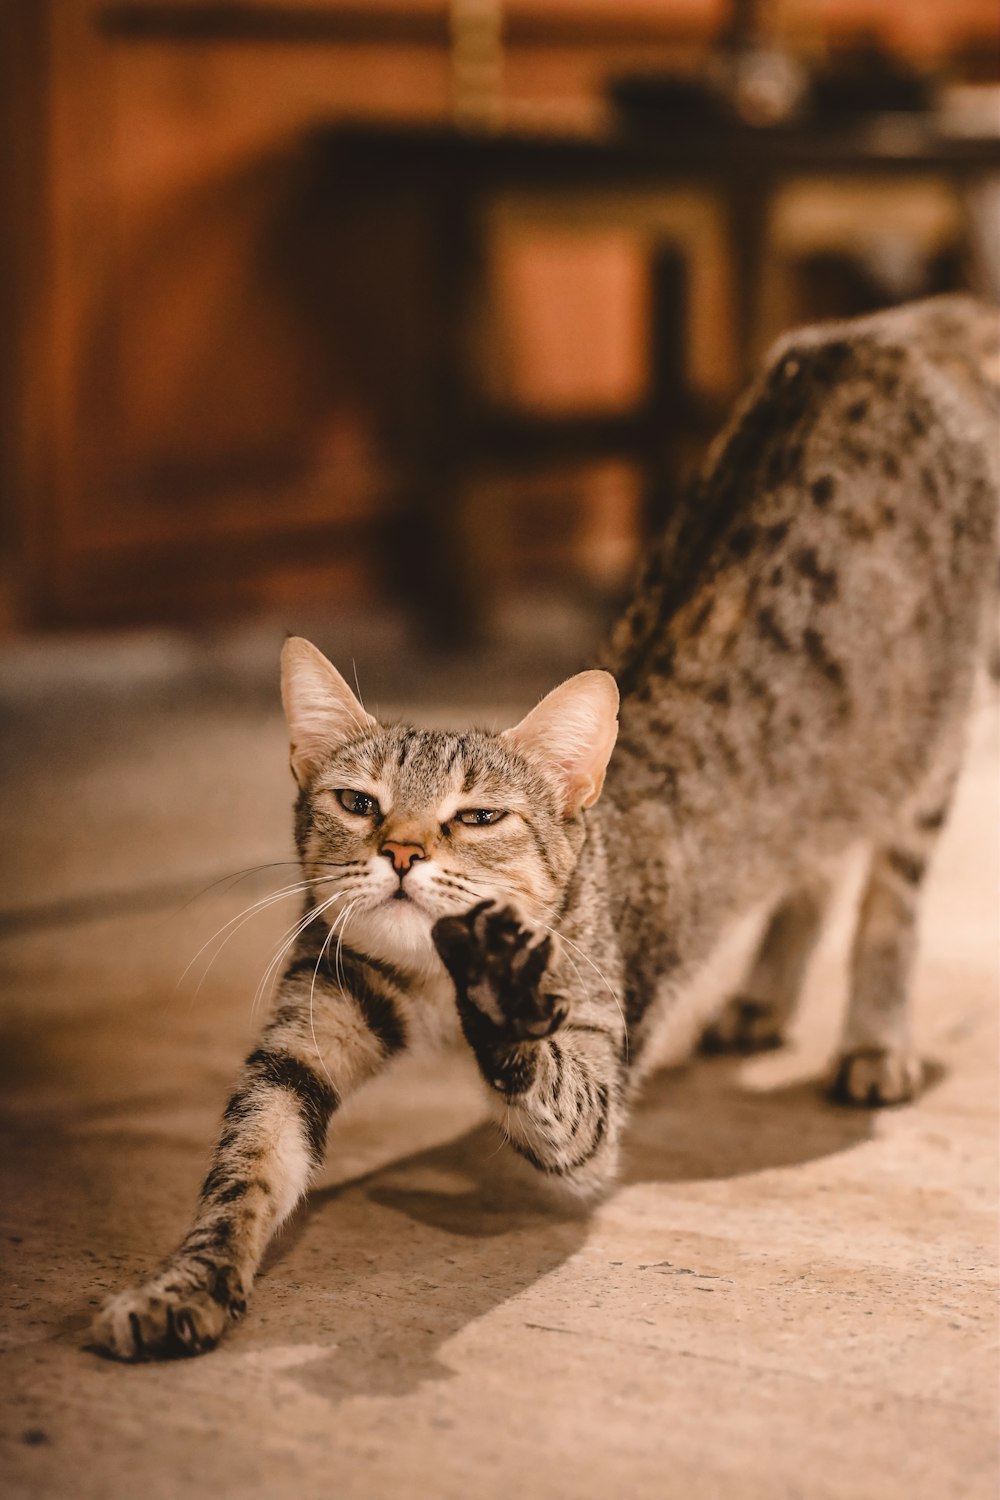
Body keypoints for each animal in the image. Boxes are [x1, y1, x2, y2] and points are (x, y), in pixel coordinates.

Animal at [89, 289, 995, 1362]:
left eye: (479, 816)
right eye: (358, 804)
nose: (402, 852)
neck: (434, 988)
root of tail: (895, 323)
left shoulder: (595, 1066)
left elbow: (551, 1086)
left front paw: (504, 999)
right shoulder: (301, 1038)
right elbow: (245, 1168)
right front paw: (185, 1284)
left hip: (930, 744)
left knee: (889, 894)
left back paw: (872, 1042)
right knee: (812, 861)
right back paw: (763, 997)